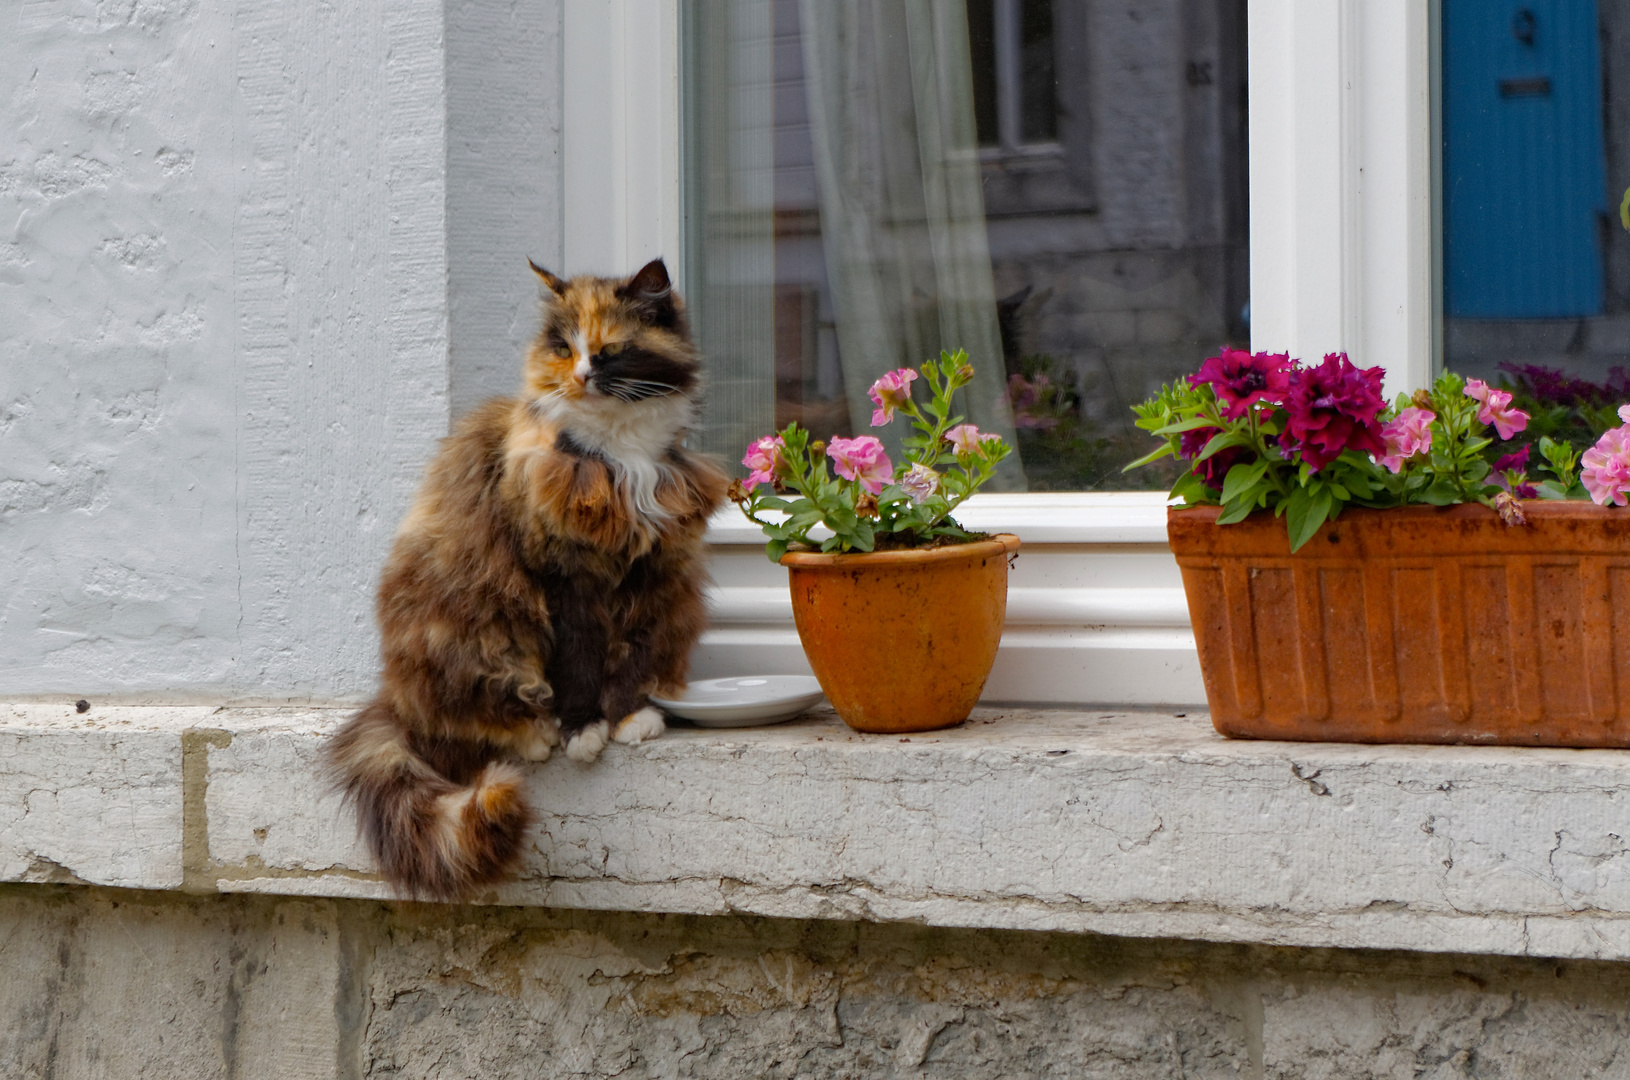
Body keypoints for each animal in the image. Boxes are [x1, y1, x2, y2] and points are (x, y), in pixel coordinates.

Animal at [327, 257, 723, 899]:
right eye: (562, 349)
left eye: (609, 352)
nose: (581, 377)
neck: (620, 456)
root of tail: (395, 699)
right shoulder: (562, 578)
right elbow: (579, 661)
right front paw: (583, 731)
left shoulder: (648, 576)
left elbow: (632, 654)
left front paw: (631, 717)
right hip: (477, 638)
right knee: (468, 725)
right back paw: (536, 736)